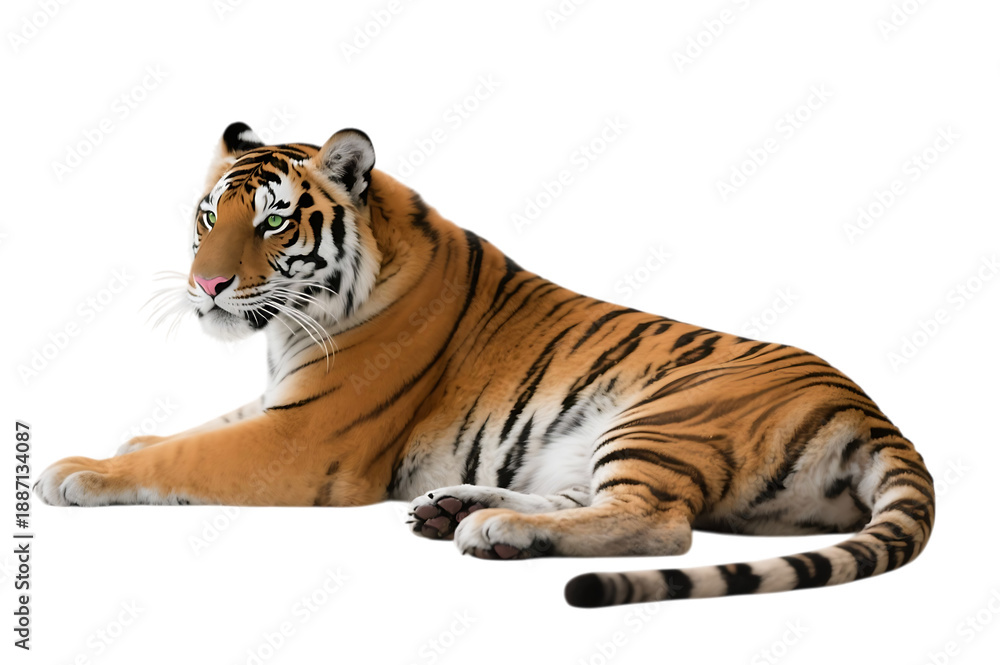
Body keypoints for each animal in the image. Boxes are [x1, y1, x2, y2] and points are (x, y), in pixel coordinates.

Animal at [35, 123, 934, 608]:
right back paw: (461, 509)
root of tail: (874, 413)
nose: (205, 286)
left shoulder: (303, 440)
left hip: (660, 415)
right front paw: (123, 443)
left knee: (659, 520)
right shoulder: (280, 404)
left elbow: (188, 453)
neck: (293, 326)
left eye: (274, 224)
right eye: (207, 216)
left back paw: (492, 527)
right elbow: (182, 431)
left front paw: (76, 470)